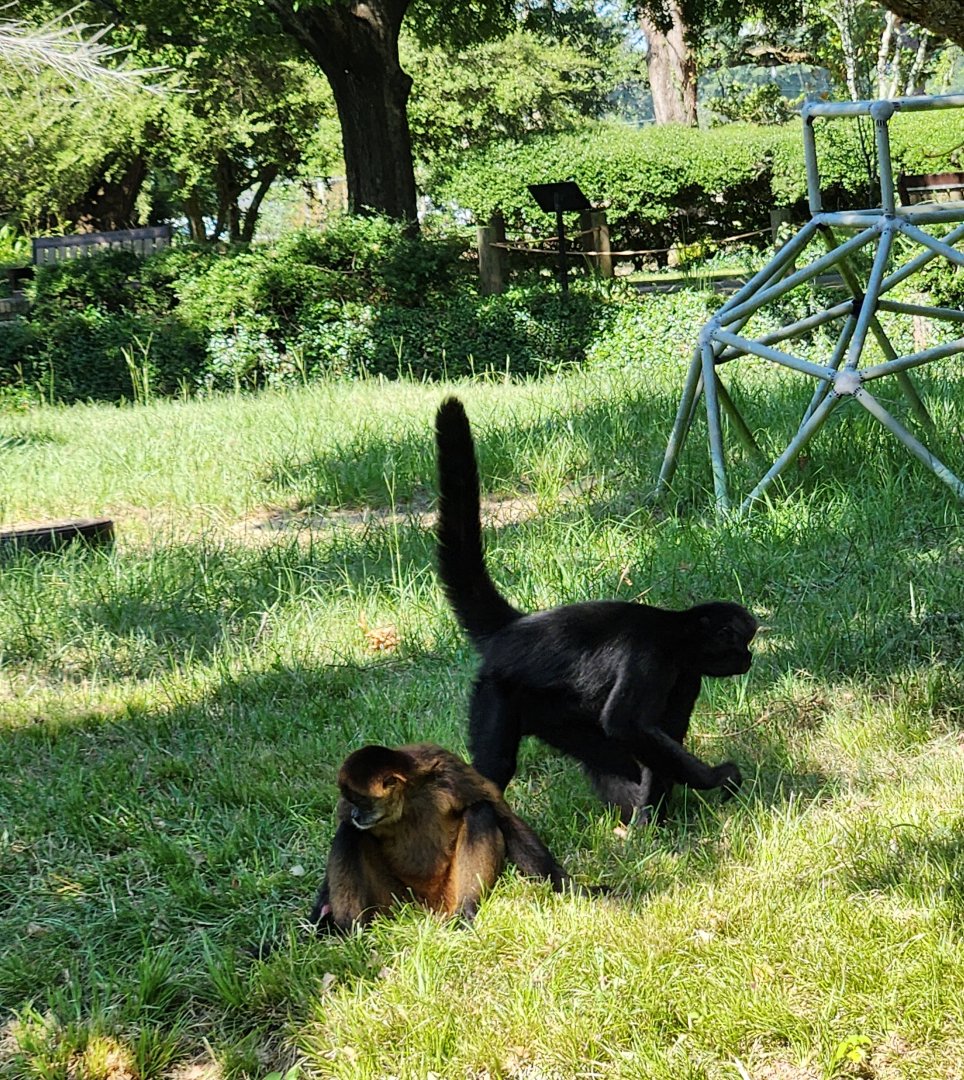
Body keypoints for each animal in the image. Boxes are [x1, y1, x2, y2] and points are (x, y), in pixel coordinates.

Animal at [310, 743, 580, 932]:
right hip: (394, 900)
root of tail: (428, 907)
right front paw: (320, 920)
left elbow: (503, 817)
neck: (406, 800)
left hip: (448, 888)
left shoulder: (447, 769)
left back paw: (465, 910)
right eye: (352, 800)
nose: (355, 813)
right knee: (350, 832)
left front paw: (571, 888)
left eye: (361, 801)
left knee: (480, 810)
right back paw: (351, 934)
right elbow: (349, 828)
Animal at [434, 396, 758, 826]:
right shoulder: (649, 656)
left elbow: (653, 737)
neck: (676, 632)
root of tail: (516, 627)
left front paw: (655, 820)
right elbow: (625, 724)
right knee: (498, 766)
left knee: (604, 754)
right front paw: (715, 779)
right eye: (743, 641)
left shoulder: (686, 676)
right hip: (497, 690)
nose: (749, 657)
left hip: (549, 711)